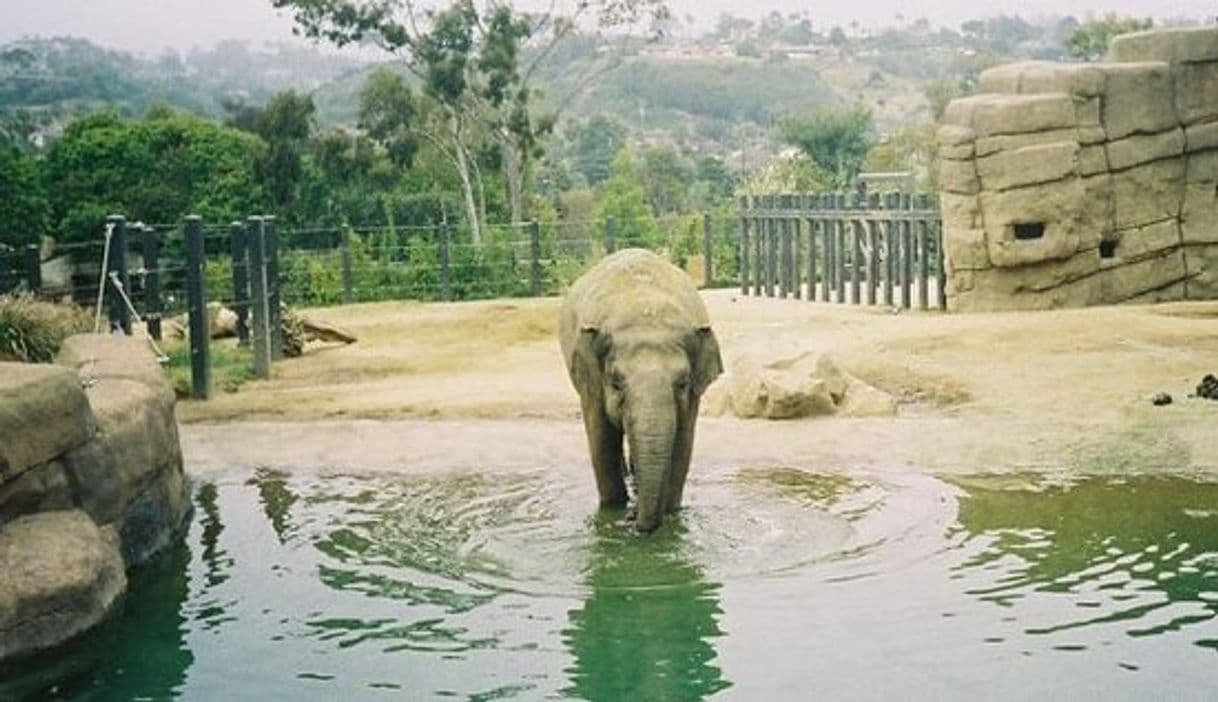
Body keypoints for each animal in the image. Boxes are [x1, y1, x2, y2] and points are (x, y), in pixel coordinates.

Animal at [560, 249, 721, 528]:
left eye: (682, 384)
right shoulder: (591, 382)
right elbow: (601, 441)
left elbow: (683, 443)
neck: (645, 310)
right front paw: (612, 510)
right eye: (616, 383)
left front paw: (671, 512)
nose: (632, 517)